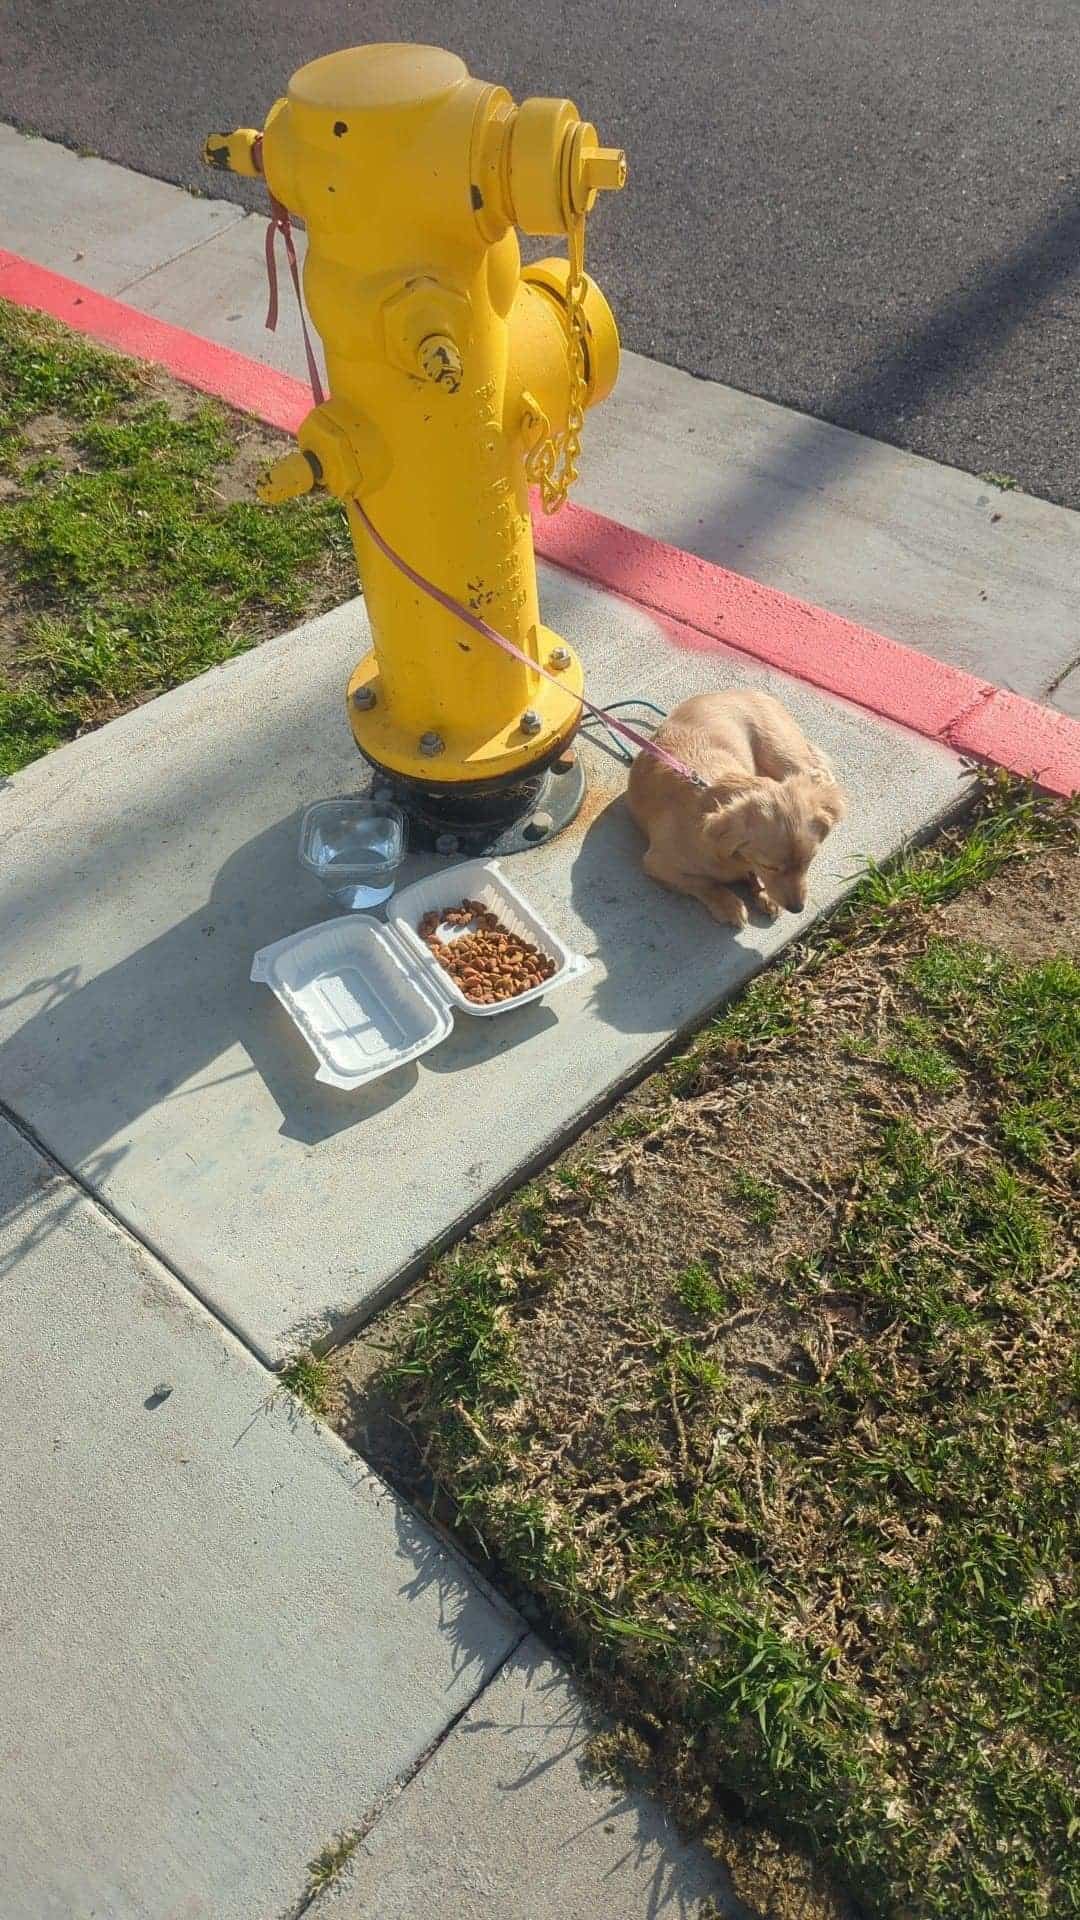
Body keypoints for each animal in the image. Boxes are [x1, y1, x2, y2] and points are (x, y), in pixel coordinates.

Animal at [626, 691, 845, 929]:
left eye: (809, 861)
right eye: (770, 867)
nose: (797, 909)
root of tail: (753, 692)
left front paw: (762, 893)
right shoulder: (657, 863)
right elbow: (704, 883)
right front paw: (729, 904)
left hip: (783, 755)